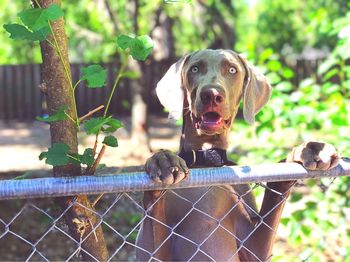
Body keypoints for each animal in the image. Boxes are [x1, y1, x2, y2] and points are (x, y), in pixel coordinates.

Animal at [135, 49, 340, 260]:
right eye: (195, 69)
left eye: (232, 69)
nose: (211, 94)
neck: (208, 159)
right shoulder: (150, 253)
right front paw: (163, 160)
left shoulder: (254, 247)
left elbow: (277, 187)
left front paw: (309, 149)